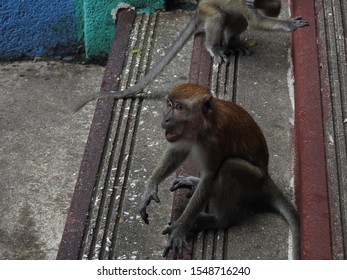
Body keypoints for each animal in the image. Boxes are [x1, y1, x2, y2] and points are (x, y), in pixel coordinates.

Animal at [73, 0, 308, 111]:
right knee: (218, 14)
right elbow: (257, 20)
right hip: (207, 9)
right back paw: (213, 46)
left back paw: (233, 42)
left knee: (237, 19)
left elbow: (272, 10)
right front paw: (289, 24)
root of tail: (197, 11)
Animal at [140, 83, 300, 260]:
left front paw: (180, 229)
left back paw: (218, 220)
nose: (166, 119)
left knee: (230, 166)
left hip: (253, 181)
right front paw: (150, 188)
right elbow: (177, 153)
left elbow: (210, 178)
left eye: (179, 107)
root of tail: (266, 177)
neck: (205, 124)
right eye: (169, 104)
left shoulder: (213, 142)